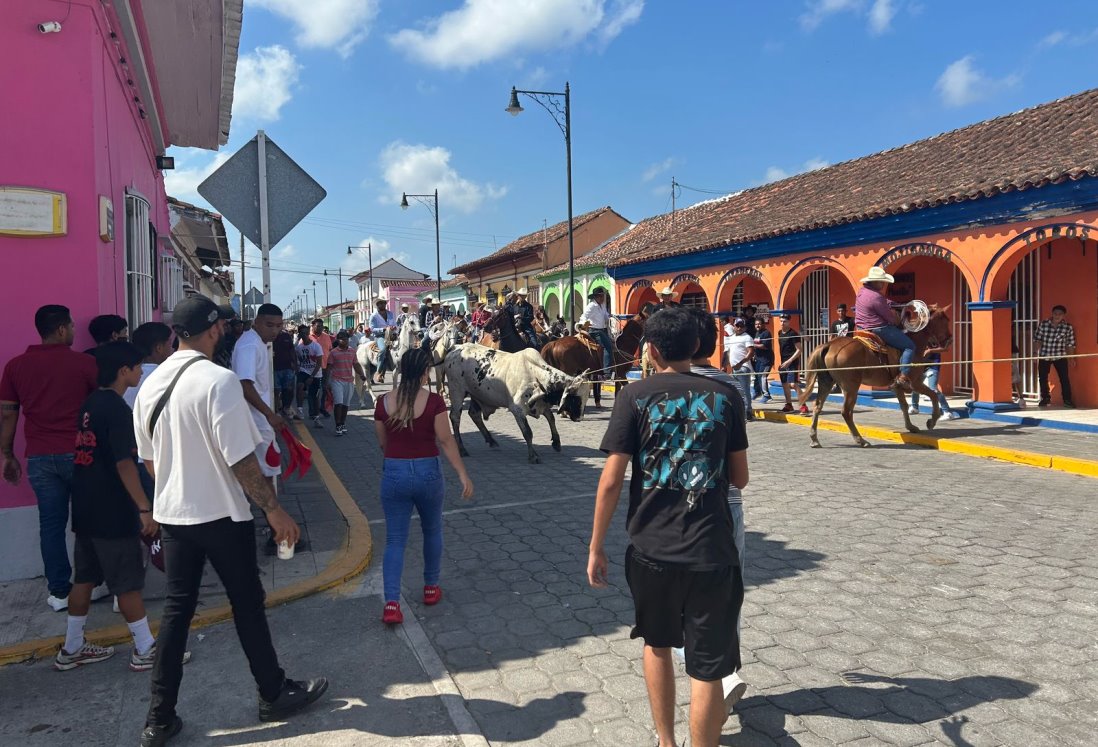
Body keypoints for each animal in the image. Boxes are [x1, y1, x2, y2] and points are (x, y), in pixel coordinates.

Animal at [441, 344, 588, 463]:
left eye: (586, 398)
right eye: (575, 398)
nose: (579, 417)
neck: (537, 375)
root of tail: (456, 348)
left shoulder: (541, 405)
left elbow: (551, 419)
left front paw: (556, 442)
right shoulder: (517, 409)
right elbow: (528, 432)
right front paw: (533, 456)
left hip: (476, 394)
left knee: (474, 414)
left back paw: (491, 440)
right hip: (457, 391)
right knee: (455, 417)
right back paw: (462, 449)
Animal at [799, 305, 953, 450]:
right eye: (945, 320)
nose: (949, 340)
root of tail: (829, 345)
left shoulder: (897, 386)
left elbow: (904, 405)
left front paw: (911, 427)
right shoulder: (915, 383)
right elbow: (933, 395)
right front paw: (931, 421)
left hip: (826, 383)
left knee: (817, 406)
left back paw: (814, 439)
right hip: (851, 387)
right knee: (846, 412)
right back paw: (861, 440)